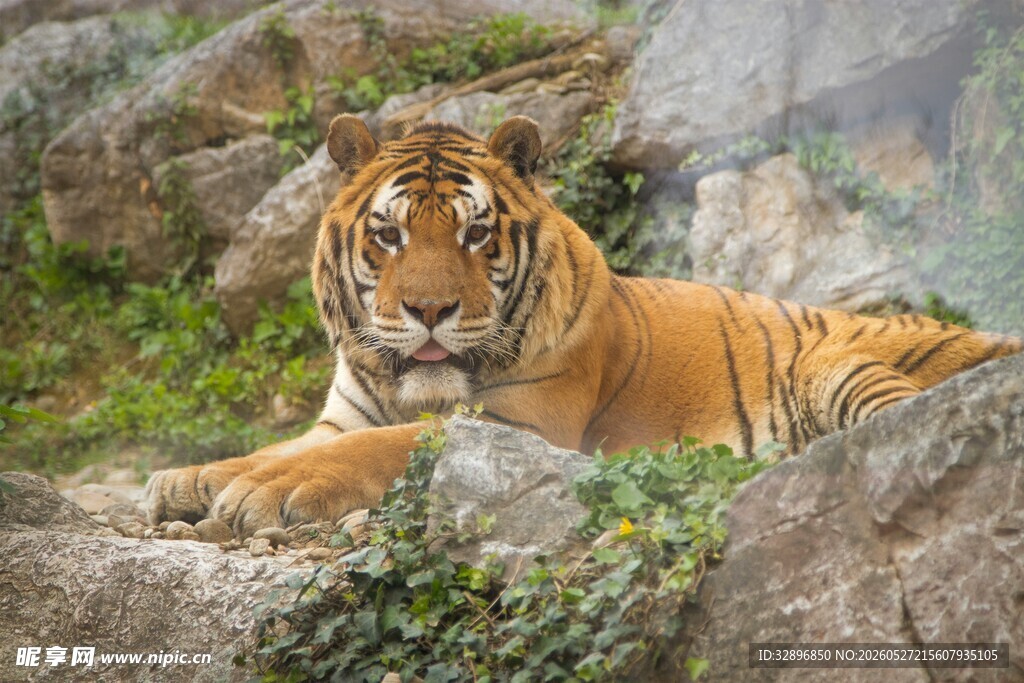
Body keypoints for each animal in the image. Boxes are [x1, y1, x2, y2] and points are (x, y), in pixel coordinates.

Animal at [146, 115, 1023, 537]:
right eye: (388, 235)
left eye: (475, 233)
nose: (430, 311)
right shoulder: (343, 412)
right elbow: (276, 445)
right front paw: (191, 478)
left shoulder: (517, 423)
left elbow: (376, 449)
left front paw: (268, 492)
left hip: (838, 364)